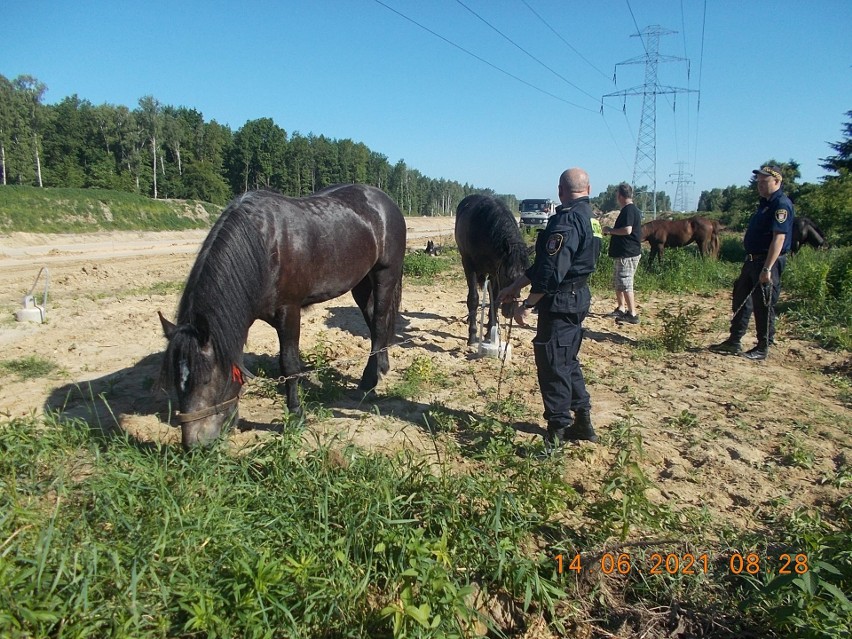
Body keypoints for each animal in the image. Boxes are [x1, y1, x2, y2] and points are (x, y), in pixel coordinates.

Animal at [159, 182, 406, 448]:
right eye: (177, 381)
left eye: (206, 380)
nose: (193, 446)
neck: (263, 248)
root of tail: (385, 201)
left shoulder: (289, 311)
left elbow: (289, 364)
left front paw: (296, 415)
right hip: (360, 283)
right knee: (374, 322)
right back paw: (382, 366)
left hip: (384, 275)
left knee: (379, 322)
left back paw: (369, 382)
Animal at [456, 194, 528, 344]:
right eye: (508, 275)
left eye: (523, 278)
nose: (509, 312)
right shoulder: (470, 266)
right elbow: (473, 299)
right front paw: (472, 336)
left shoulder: (496, 271)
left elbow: (494, 300)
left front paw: (490, 332)